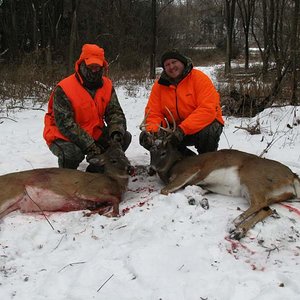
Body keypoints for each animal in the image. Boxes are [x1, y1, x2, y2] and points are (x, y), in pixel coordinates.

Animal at [0, 142, 134, 219]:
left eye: (124, 155)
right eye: (113, 160)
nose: (130, 169)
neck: (114, 182)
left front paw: (91, 213)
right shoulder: (86, 190)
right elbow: (115, 199)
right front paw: (113, 214)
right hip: (9, 193)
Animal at [141, 108, 300, 239]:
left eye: (163, 152)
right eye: (151, 151)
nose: (151, 168)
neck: (173, 165)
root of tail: (292, 176)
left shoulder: (191, 170)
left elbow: (165, 190)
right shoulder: (205, 185)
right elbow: (193, 190)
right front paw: (199, 200)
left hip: (251, 178)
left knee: (259, 204)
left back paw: (234, 224)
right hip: (270, 194)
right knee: (268, 209)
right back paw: (238, 232)